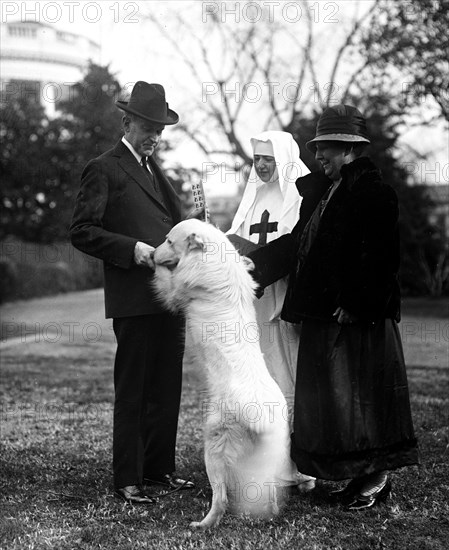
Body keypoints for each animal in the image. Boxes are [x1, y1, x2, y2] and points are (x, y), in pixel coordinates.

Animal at [152, 220, 314, 532]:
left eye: (168, 241)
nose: (152, 253)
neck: (216, 260)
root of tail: (263, 418)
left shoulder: (176, 291)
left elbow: (168, 280)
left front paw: (150, 262)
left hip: (213, 449)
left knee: (222, 498)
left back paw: (202, 524)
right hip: (271, 456)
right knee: (278, 486)